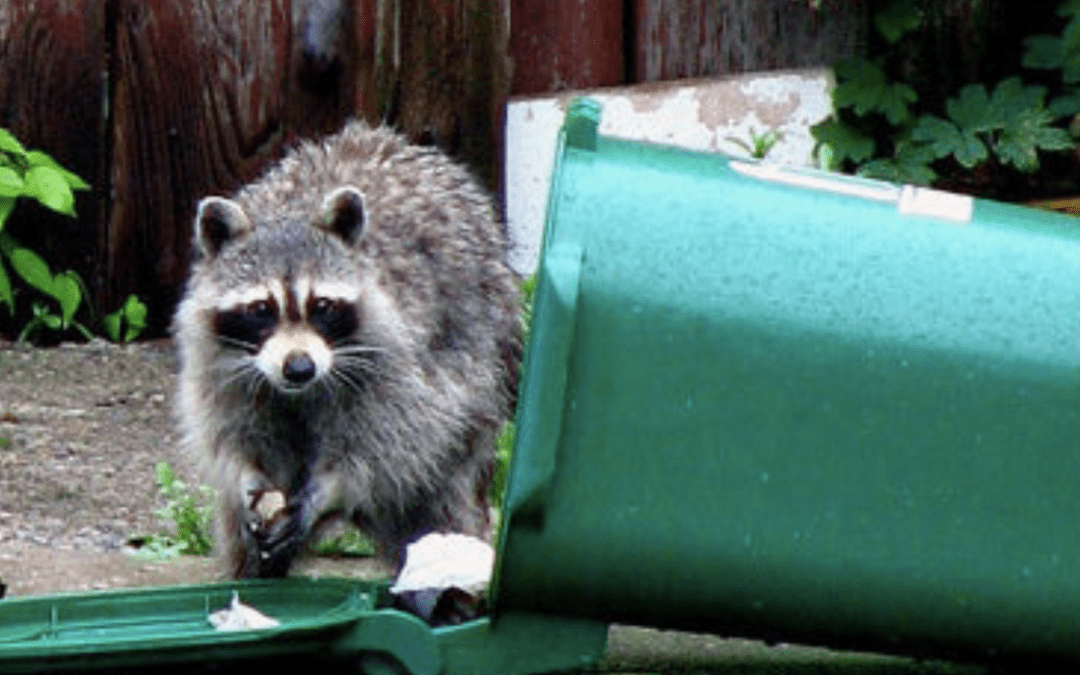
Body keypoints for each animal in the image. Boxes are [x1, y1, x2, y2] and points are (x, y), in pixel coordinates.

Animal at [172, 119, 518, 574]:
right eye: (262, 309)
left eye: (322, 306)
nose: (299, 368)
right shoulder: (219, 364)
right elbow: (232, 432)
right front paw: (249, 472)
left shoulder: (400, 359)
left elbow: (389, 442)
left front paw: (327, 489)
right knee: (239, 535)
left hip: (483, 367)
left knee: (440, 494)